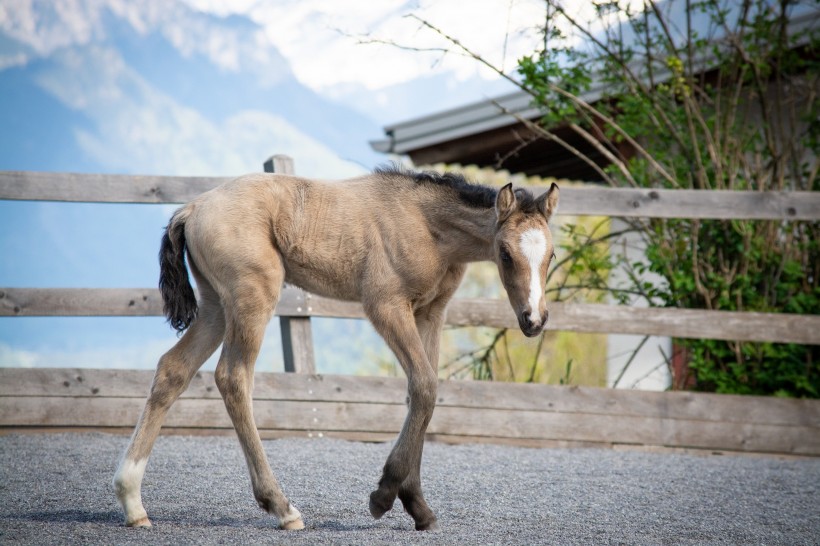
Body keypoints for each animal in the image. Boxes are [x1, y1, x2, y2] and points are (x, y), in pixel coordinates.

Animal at [113, 167, 556, 532]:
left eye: (551, 255)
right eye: (505, 253)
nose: (534, 319)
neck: (426, 224)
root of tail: (192, 208)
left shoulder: (431, 312)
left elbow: (420, 392)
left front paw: (417, 506)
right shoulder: (385, 305)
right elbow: (426, 386)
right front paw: (384, 496)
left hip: (216, 306)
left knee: (173, 369)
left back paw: (133, 503)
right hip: (252, 296)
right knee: (233, 378)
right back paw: (282, 507)